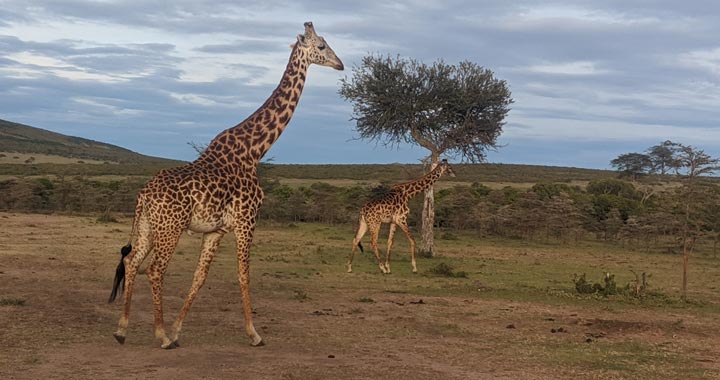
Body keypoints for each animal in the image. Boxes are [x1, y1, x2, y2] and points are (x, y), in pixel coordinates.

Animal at [107, 22, 344, 348]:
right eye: (321, 46)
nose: (340, 64)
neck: (255, 150)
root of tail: (144, 195)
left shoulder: (216, 230)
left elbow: (200, 277)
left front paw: (178, 329)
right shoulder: (246, 221)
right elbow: (244, 275)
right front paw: (254, 334)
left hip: (146, 226)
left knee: (131, 262)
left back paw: (122, 329)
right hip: (170, 229)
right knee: (154, 270)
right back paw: (160, 335)